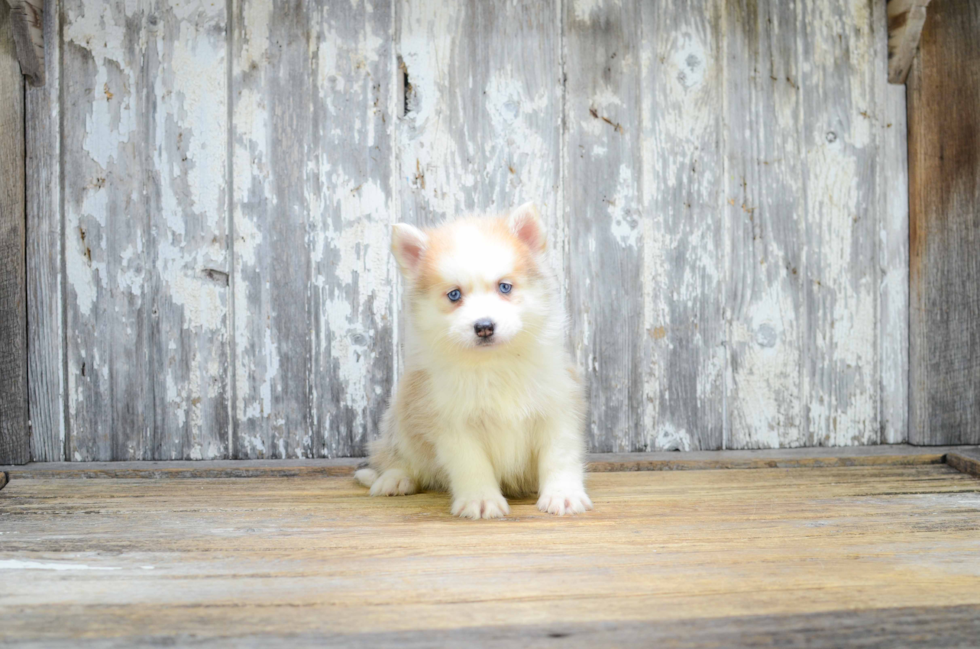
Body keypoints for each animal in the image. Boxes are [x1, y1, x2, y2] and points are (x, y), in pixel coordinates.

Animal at [356, 200, 592, 520]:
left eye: (504, 287)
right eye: (454, 295)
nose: (484, 327)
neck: (494, 364)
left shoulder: (558, 408)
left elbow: (560, 457)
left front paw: (563, 495)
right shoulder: (452, 423)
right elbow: (472, 466)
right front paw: (481, 500)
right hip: (401, 415)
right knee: (396, 456)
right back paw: (394, 479)